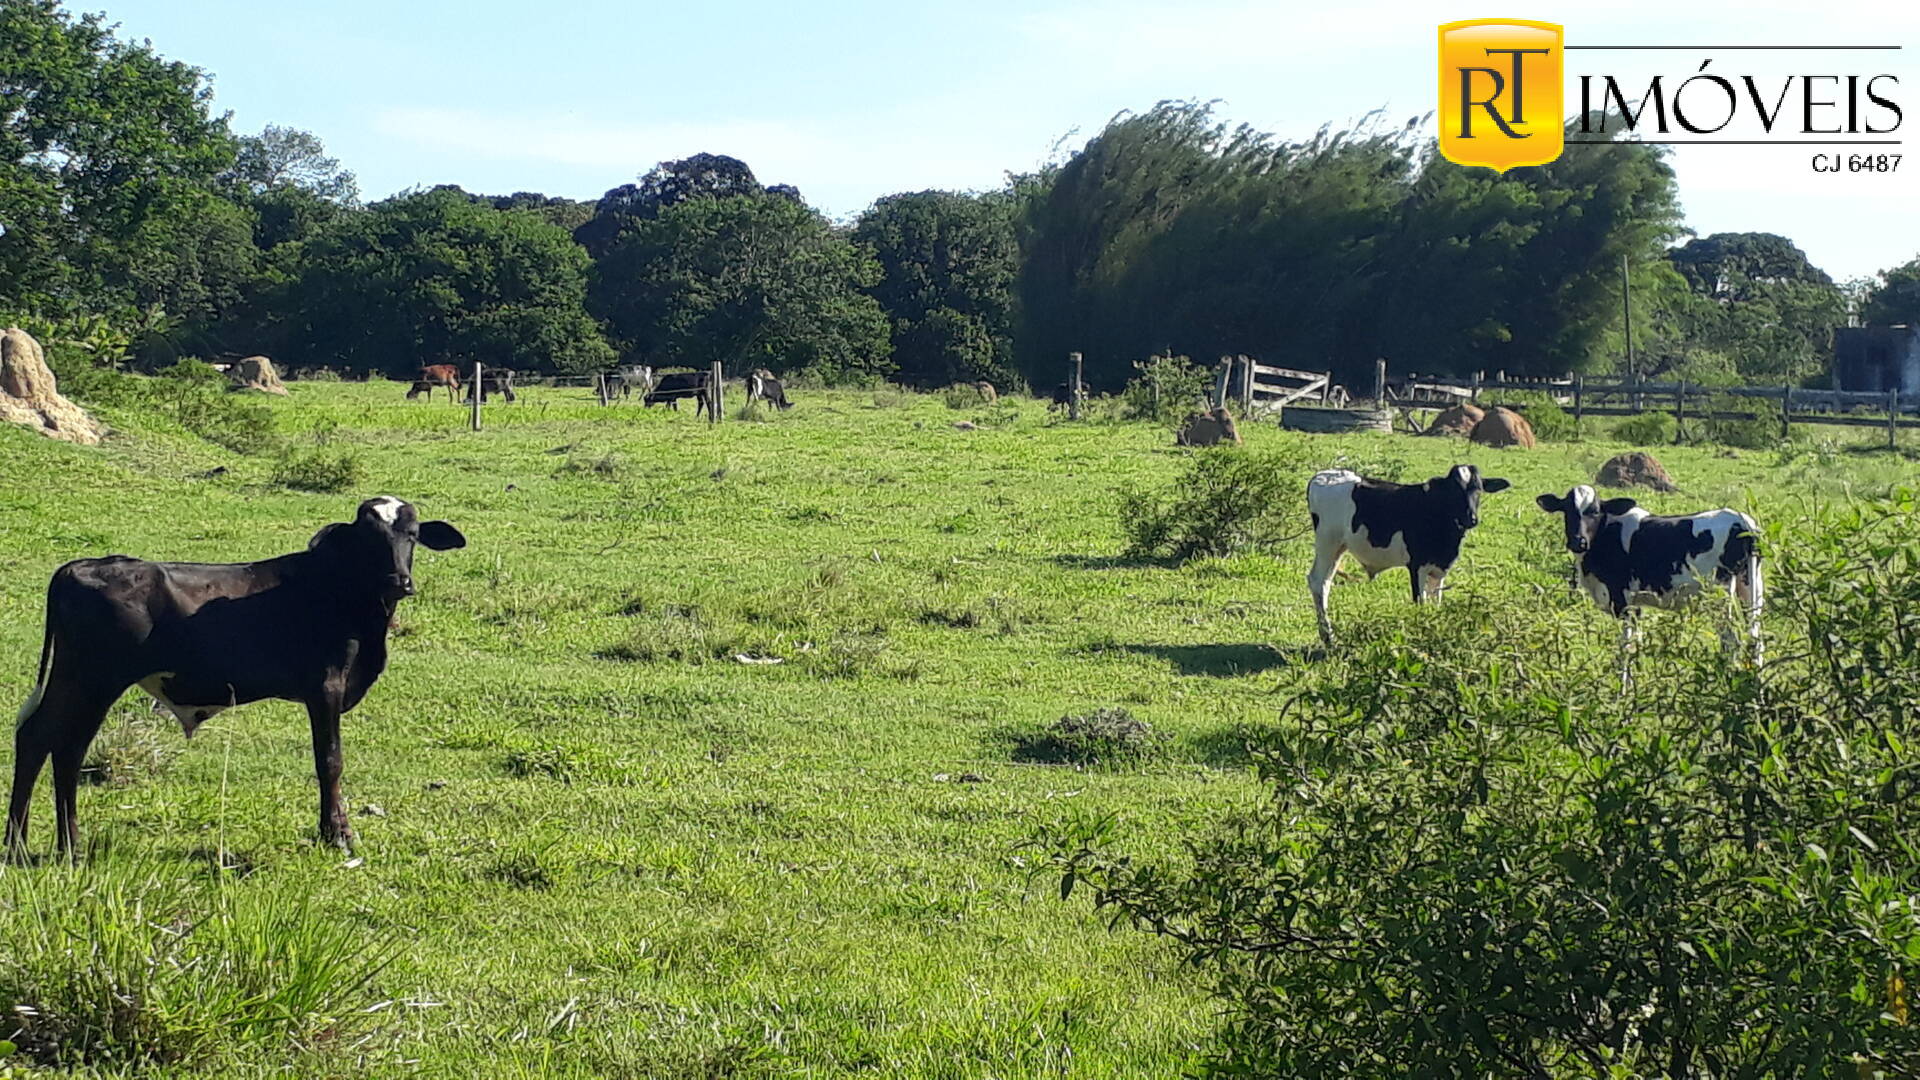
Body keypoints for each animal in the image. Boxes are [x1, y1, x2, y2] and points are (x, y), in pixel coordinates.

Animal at [9, 491, 466, 853]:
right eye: (368, 538)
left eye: (412, 534)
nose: (398, 580)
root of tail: (83, 565)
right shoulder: (326, 687)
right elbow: (330, 759)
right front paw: (338, 835)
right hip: (92, 680)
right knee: (51, 742)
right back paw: (33, 846)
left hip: (80, 681)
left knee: (51, 744)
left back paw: (48, 844)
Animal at [1305, 461, 1512, 638]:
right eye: (1454, 490)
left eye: (1478, 489)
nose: (1471, 518)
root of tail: (1323, 475)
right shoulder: (1416, 566)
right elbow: (1420, 602)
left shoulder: (1439, 570)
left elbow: (1436, 603)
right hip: (1327, 542)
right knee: (1318, 581)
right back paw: (1328, 637)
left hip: (1338, 548)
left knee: (1326, 582)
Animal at [1536, 486, 1758, 672]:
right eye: (1567, 510)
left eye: (1595, 511)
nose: (1578, 541)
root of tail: (1739, 518)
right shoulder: (1636, 604)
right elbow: (1635, 644)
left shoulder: (1621, 600)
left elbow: (1625, 647)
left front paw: (1622, 693)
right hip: (1749, 587)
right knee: (1754, 635)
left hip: (1719, 595)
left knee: (1731, 639)